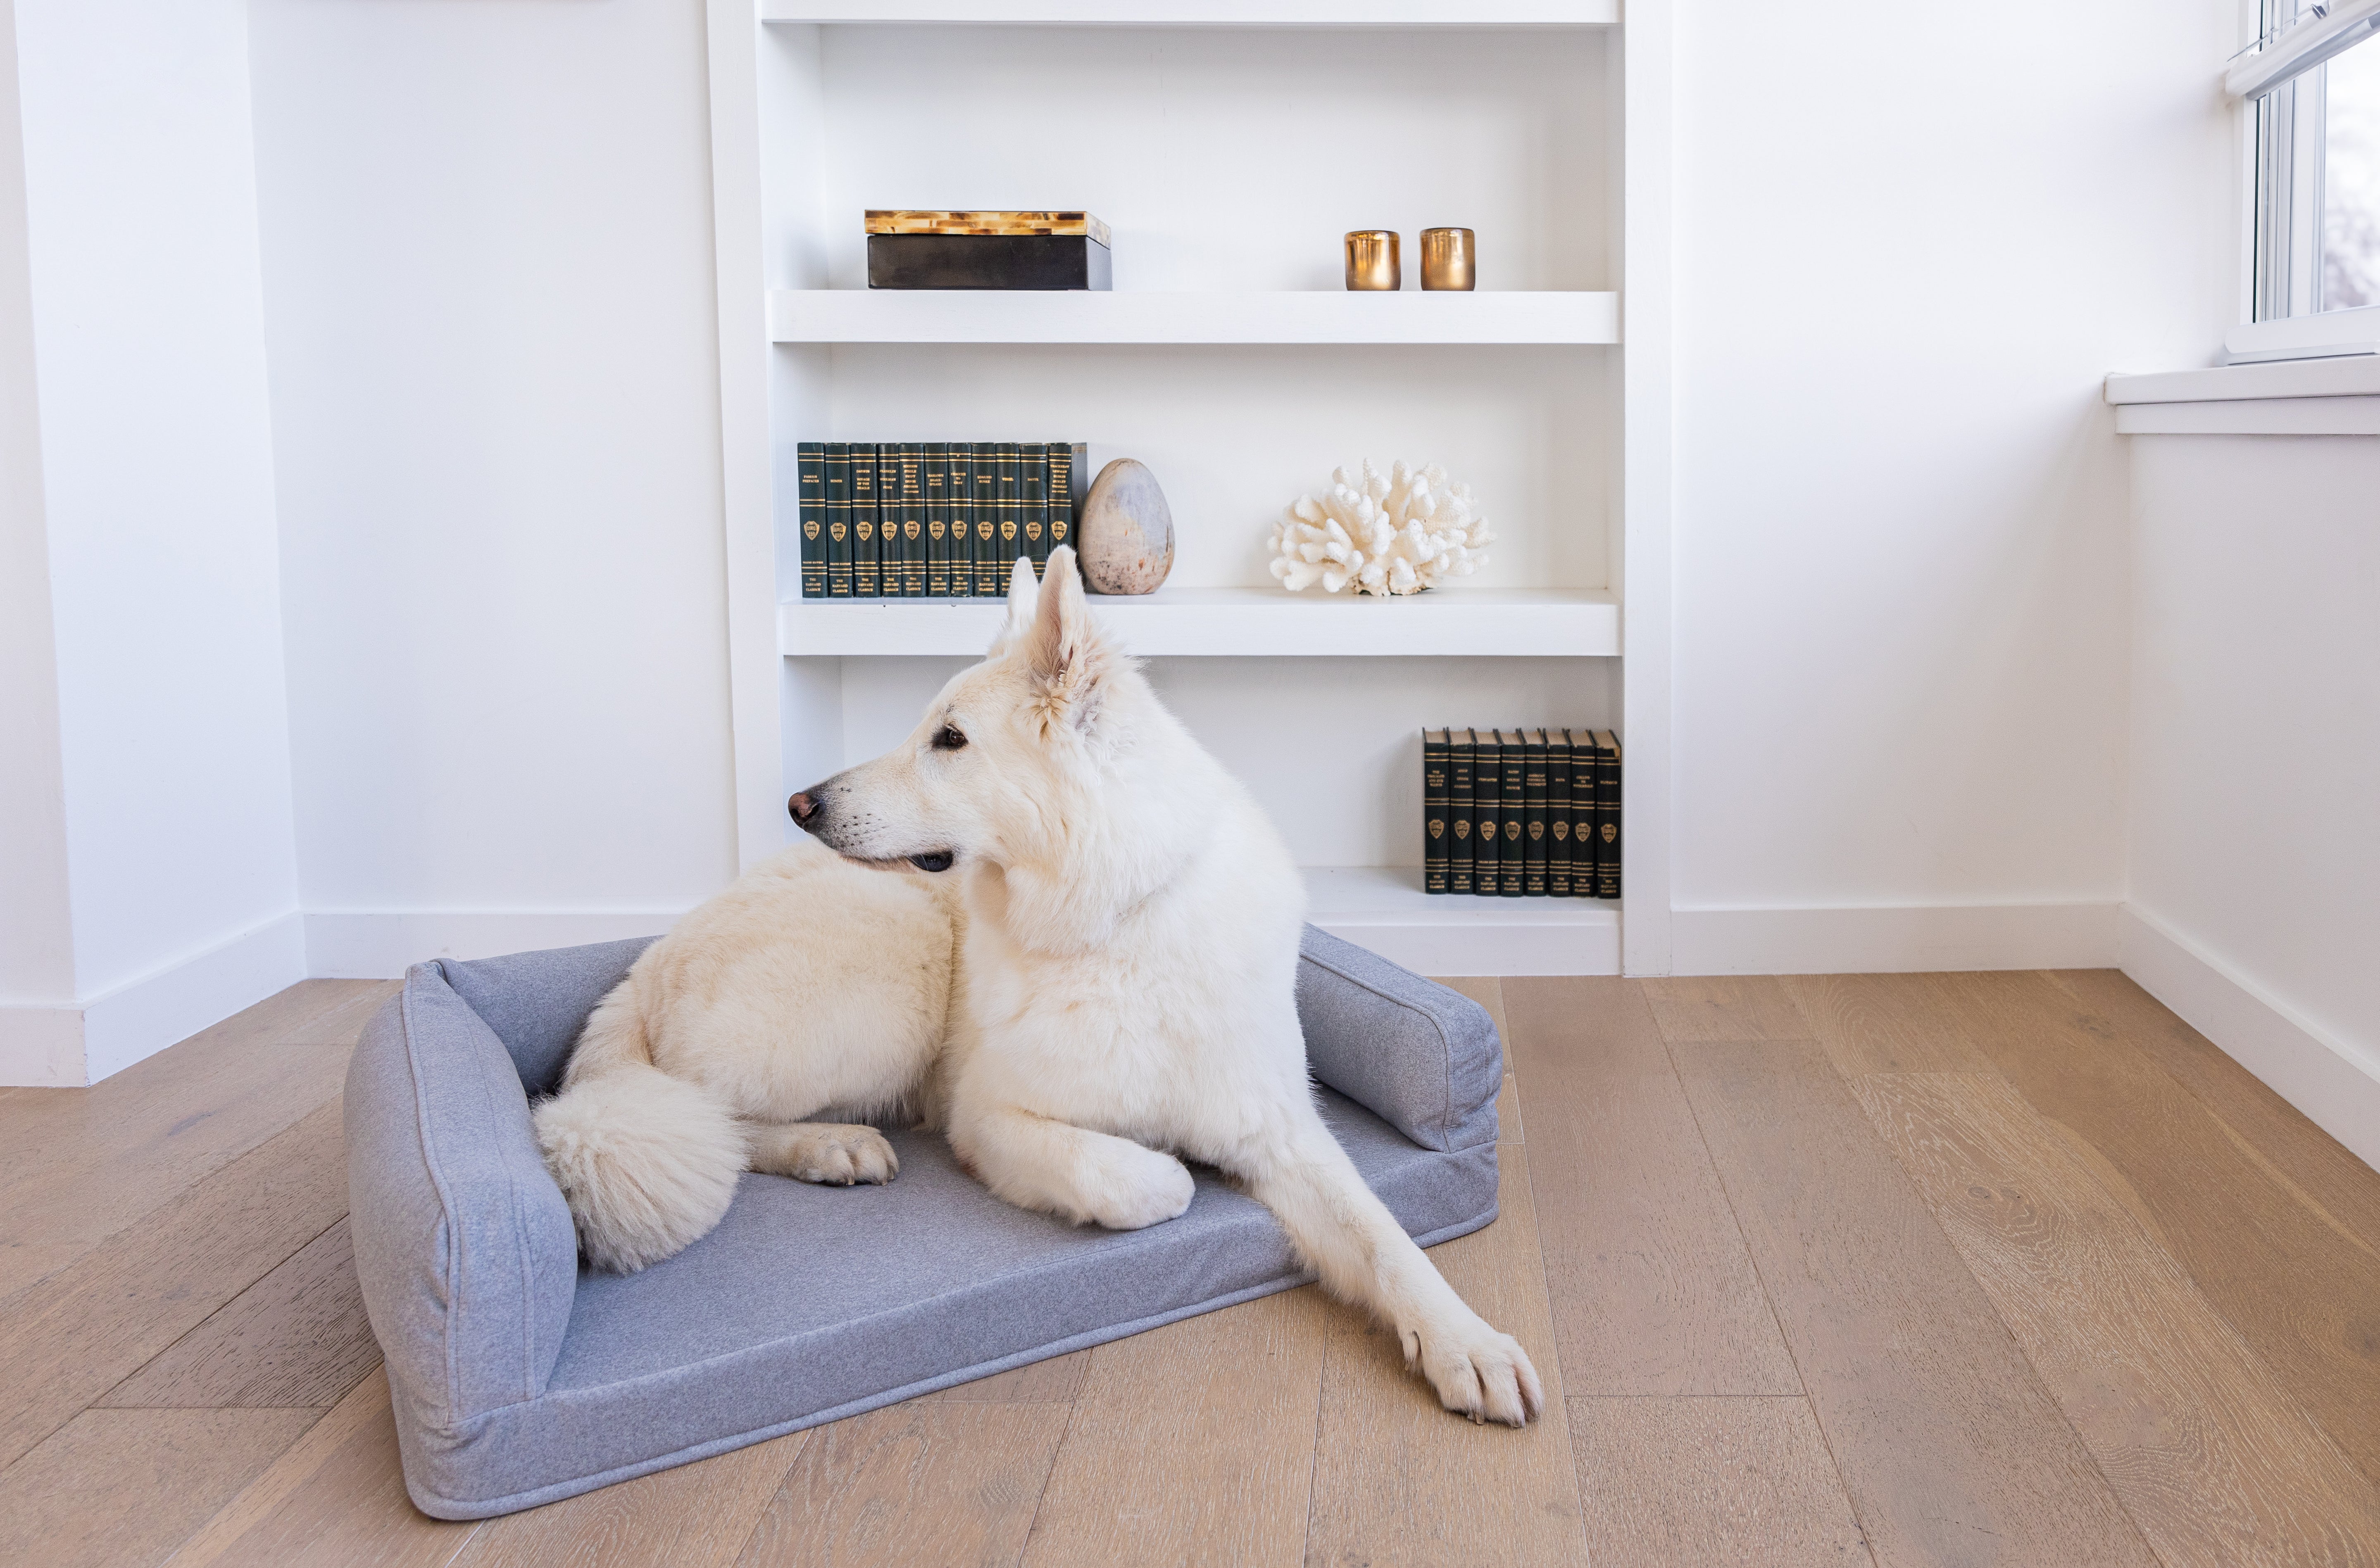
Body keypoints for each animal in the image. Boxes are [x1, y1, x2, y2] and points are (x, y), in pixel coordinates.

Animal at [536, 554, 1542, 1437]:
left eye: (948, 740)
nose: (800, 804)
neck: (1113, 919)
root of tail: (646, 962)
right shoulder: (988, 1117)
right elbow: (1153, 1178)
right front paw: (1163, 1170)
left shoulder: (1283, 1132)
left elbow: (1387, 1238)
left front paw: (1466, 1341)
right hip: (894, 968)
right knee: (716, 1116)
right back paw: (832, 1144)